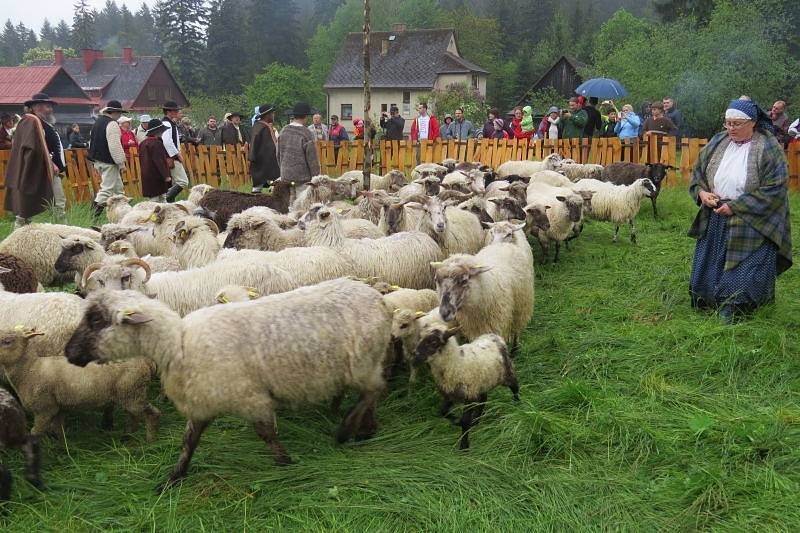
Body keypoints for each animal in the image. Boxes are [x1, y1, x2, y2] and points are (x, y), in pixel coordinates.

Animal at [0, 324, 161, 440]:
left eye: (7, 341)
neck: (30, 368)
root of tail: (145, 361)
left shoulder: (44, 409)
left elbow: (35, 433)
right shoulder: (57, 408)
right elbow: (59, 431)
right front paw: (62, 451)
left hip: (133, 393)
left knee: (152, 414)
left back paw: (149, 442)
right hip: (130, 393)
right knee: (133, 416)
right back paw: (127, 438)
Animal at [65, 280, 390, 488]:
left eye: (96, 320)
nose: (68, 353)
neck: (178, 345)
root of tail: (379, 299)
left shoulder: (251, 398)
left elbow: (266, 434)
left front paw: (285, 464)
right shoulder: (202, 403)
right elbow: (188, 443)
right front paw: (172, 479)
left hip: (362, 362)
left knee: (374, 390)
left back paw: (346, 430)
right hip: (368, 361)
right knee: (372, 393)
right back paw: (366, 429)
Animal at [412, 320, 520, 448]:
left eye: (433, 342)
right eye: (420, 338)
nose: (415, 356)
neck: (456, 362)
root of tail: (493, 335)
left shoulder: (469, 395)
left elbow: (464, 421)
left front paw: (464, 445)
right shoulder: (450, 395)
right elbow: (443, 411)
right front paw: (455, 421)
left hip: (506, 373)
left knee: (515, 387)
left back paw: (518, 404)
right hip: (481, 383)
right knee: (483, 399)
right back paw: (476, 419)